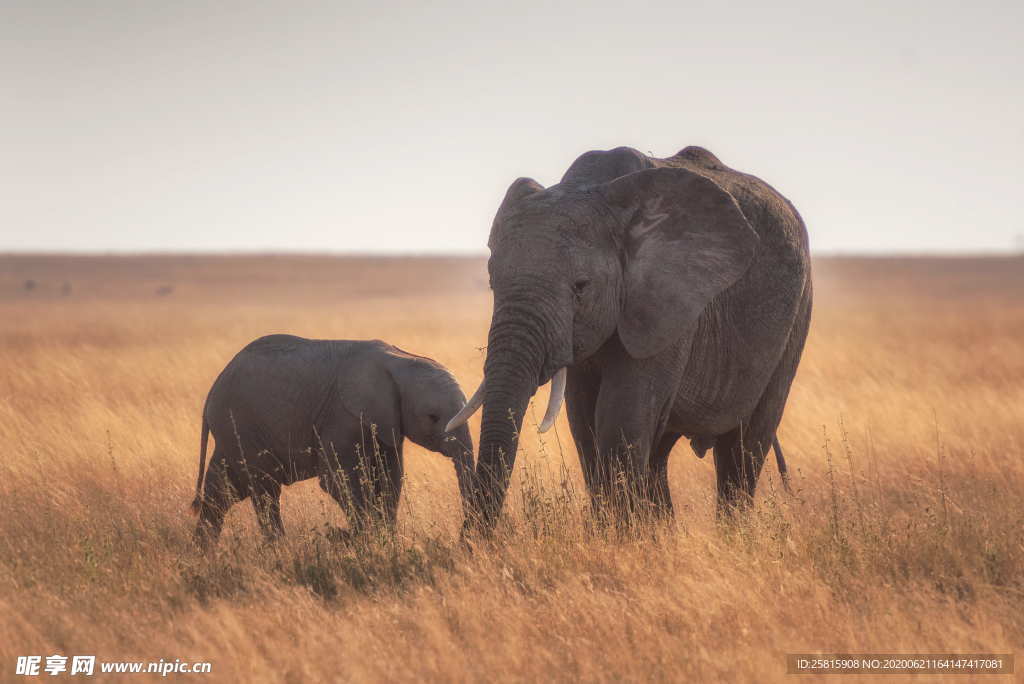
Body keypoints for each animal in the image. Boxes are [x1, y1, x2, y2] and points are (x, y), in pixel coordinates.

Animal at [190, 333, 473, 548]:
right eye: (433, 417)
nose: (463, 539)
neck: (400, 359)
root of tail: (212, 391)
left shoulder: (388, 422)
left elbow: (390, 477)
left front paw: (387, 542)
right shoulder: (342, 415)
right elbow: (337, 479)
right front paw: (366, 542)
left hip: (234, 431)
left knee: (222, 490)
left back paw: (204, 553)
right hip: (240, 425)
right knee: (264, 490)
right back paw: (279, 550)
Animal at [448, 145, 806, 528]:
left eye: (581, 287)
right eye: (492, 282)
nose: (474, 539)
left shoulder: (668, 302)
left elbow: (620, 418)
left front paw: (622, 535)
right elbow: (584, 421)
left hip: (796, 316)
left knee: (743, 447)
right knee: (659, 453)